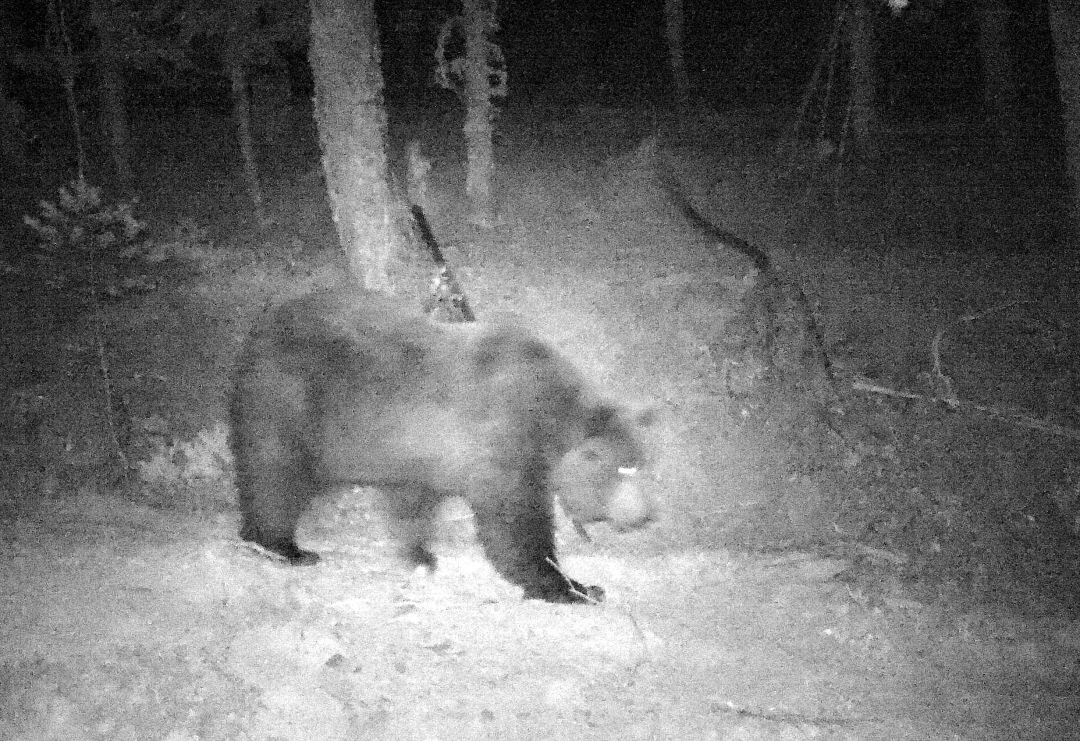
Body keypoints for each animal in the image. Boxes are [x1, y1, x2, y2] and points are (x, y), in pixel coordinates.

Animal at [232, 285, 656, 604]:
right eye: (623, 470)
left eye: (644, 465)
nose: (644, 515)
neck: (551, 419)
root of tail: (261, 327)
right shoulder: (504, 438)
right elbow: (513, 521)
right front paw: (572, 587)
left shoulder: (420, 453)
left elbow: (413, 503)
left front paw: (420, 556)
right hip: (288, 401)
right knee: (275, 475)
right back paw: (283, 547)